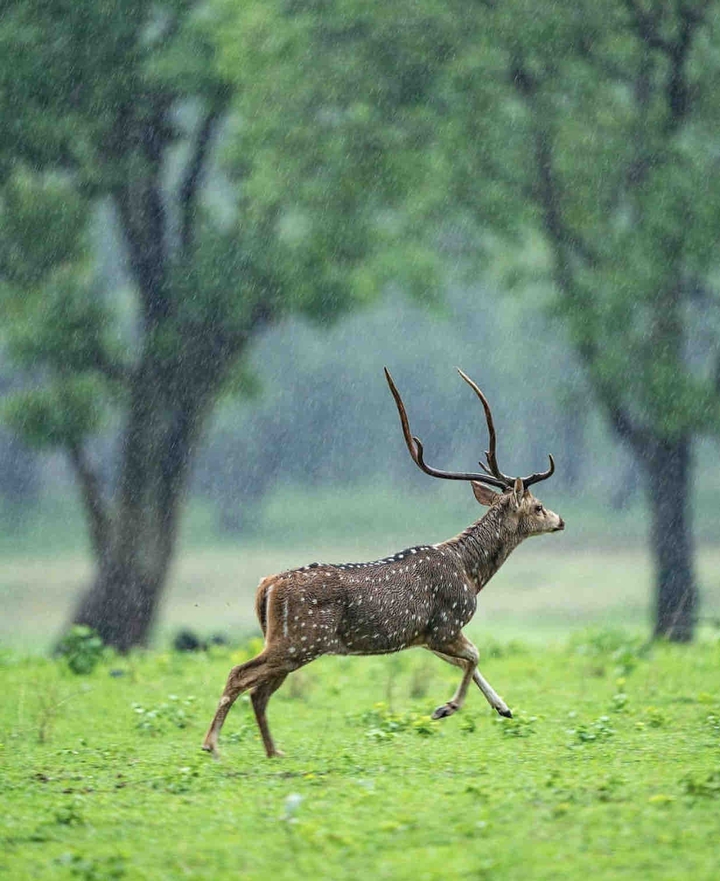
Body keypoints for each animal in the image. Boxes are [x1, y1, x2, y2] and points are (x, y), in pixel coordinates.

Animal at [202, 368, 564, 758]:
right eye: (539, 506)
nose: (560, 520)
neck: (470, 573)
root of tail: (266, 585)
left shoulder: (425, 636)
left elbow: (468, 661)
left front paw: (503, 708)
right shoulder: (446, 623)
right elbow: (475, 656)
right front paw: (445, 708)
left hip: (287, 642)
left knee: (260, 690)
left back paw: (274, 752)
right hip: (301, 639)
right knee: (241, 675)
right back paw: (212, 745)